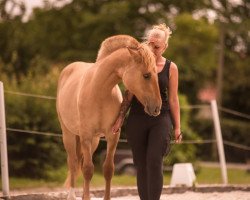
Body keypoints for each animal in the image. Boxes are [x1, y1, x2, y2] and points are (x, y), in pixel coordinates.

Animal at [56, 34, 162, 200]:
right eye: (146, 75)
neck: (99, 90)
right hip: (69, 135)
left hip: (94, 141)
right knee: (73, 163)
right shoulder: (86, 136)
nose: (157, 107)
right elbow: (88, 169)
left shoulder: (112, 136)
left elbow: (108, 169)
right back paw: (72, 195)